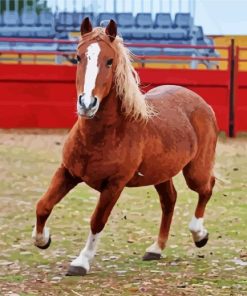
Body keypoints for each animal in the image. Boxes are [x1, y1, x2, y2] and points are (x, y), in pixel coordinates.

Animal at [31, 18, 218, 276]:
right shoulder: (67, 172)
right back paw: (156, 249)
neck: (102, 136)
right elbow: (43, 205)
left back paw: (199, 235)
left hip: (195, 171)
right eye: (78, 57)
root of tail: (201, 103)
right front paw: (42, 240)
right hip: (161, 174)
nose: (87, 104)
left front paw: (81, 262)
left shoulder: (114, 186)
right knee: (169, 201)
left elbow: (97, 220)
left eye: (109, 61)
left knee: (207, 187)